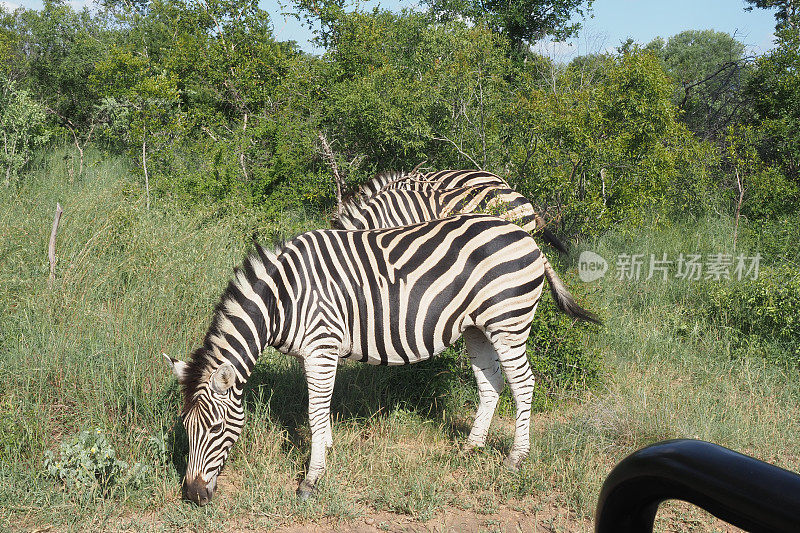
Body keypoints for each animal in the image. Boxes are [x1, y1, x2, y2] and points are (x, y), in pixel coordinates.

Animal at [166, 214, 596, 504]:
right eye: (185, 427)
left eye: (216, 428)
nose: (192, 496)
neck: (282, 300)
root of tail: (527, 237)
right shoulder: (318, 352)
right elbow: (322, 410)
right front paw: (328, 451)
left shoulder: (321, 345)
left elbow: (315, 411)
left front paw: (311, 479)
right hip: (477, 326)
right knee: (491, 381)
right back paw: (471, 448)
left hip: (508, 320)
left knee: (523, 383)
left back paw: (515, 459)